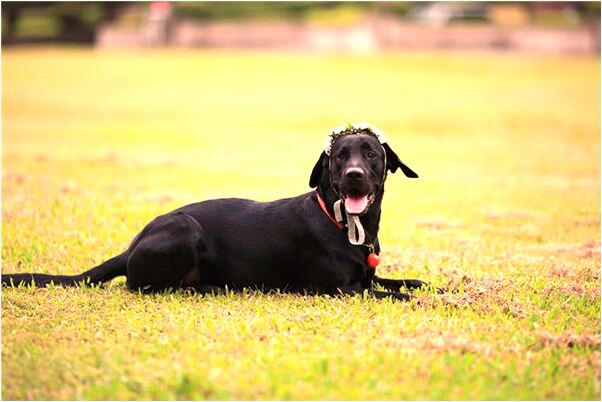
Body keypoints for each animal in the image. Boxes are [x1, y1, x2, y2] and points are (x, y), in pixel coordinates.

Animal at [2, 124, 428, 300]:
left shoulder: (367, 278)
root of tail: (131, 247)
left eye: (370, 154)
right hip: (184, 231)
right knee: (143, 286)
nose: (355, 176)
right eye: (339, 157)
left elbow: (411, 283)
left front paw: (436, 289)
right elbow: (400, 296)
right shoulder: (341, 289)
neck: (341, 222)